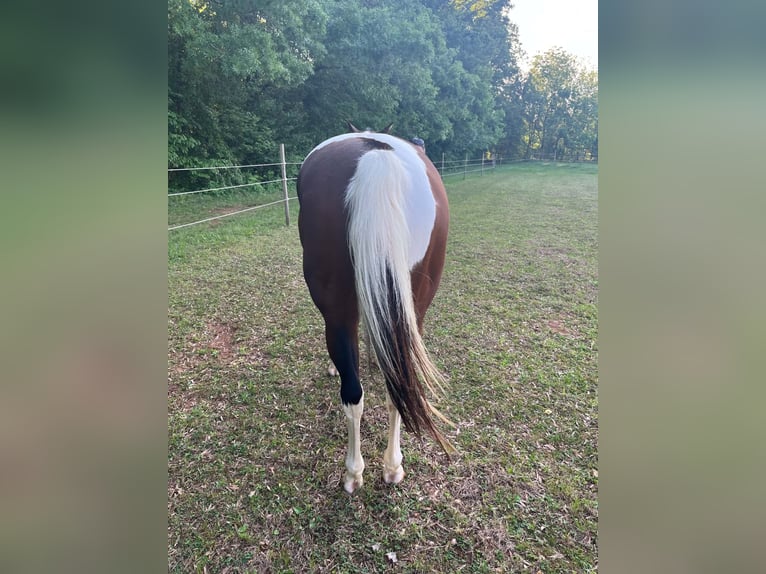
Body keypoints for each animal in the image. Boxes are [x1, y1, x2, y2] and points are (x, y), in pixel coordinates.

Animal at [296, 123, 454, 493]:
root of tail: (376, 157)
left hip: (336, 311)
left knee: (353, 395)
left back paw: (353, 474)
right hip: (416, 307)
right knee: (398, 385)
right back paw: (393, 467)